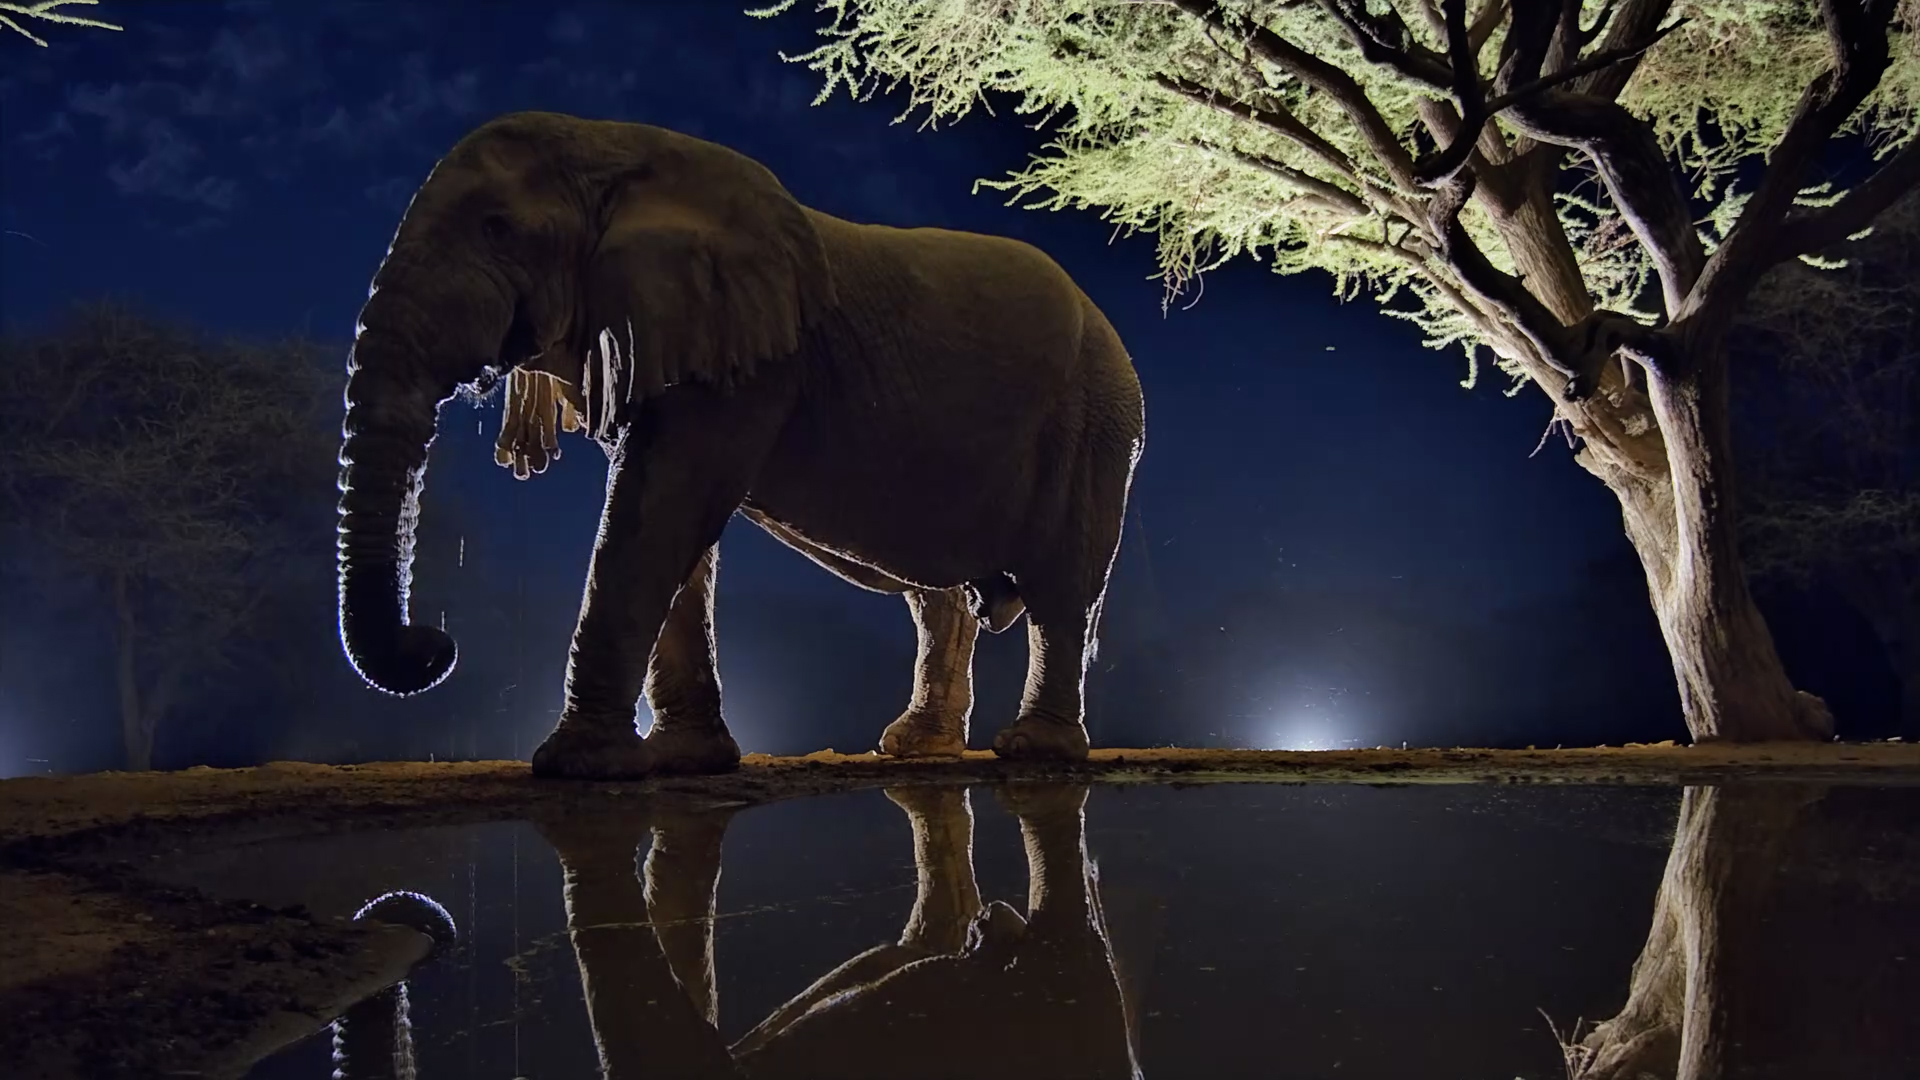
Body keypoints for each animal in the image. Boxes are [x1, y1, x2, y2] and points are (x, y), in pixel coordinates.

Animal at [333, 110, 1146, 779]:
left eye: (498, 229)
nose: (437, 644)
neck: (609, 147)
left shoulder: (750, 361)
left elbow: (660, 508)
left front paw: (579, 767)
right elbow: (669, 524)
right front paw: (685, 761)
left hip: (1095, 431)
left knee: (1061, 592)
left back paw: (1034, 752)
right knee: (938, 600)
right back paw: (918, 750)